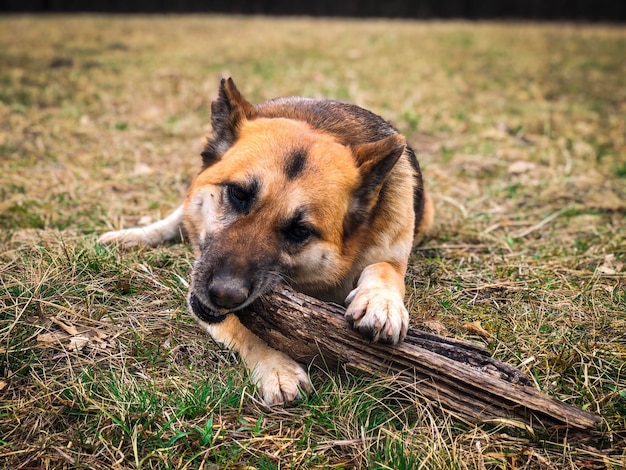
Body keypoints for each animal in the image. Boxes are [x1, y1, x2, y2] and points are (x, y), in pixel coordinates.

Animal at [100, 77, 432, 404]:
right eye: (238, 193)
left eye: (299, 231)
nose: (225, 294)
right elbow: (247, 327)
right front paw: (277, 367)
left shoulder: (391, 249)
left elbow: (385, 268)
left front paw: (381, 301)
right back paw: (132, 236)